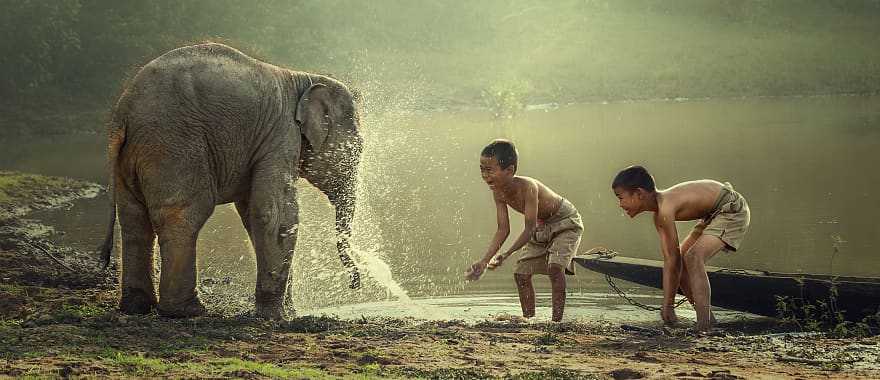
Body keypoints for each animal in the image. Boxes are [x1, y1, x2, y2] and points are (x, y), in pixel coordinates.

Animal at [99, 43, 364, 320]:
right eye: (356, 150)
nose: (355, 284)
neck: (303, 78)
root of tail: (123, 112)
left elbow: (252, 215)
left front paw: (287, 312)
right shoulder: (281, 136)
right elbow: (275, 214)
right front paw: (277, 317)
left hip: (133, 157)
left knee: (134, 220)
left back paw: (137, 307)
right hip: (174, 147)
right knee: (184, 216)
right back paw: (187, 311)